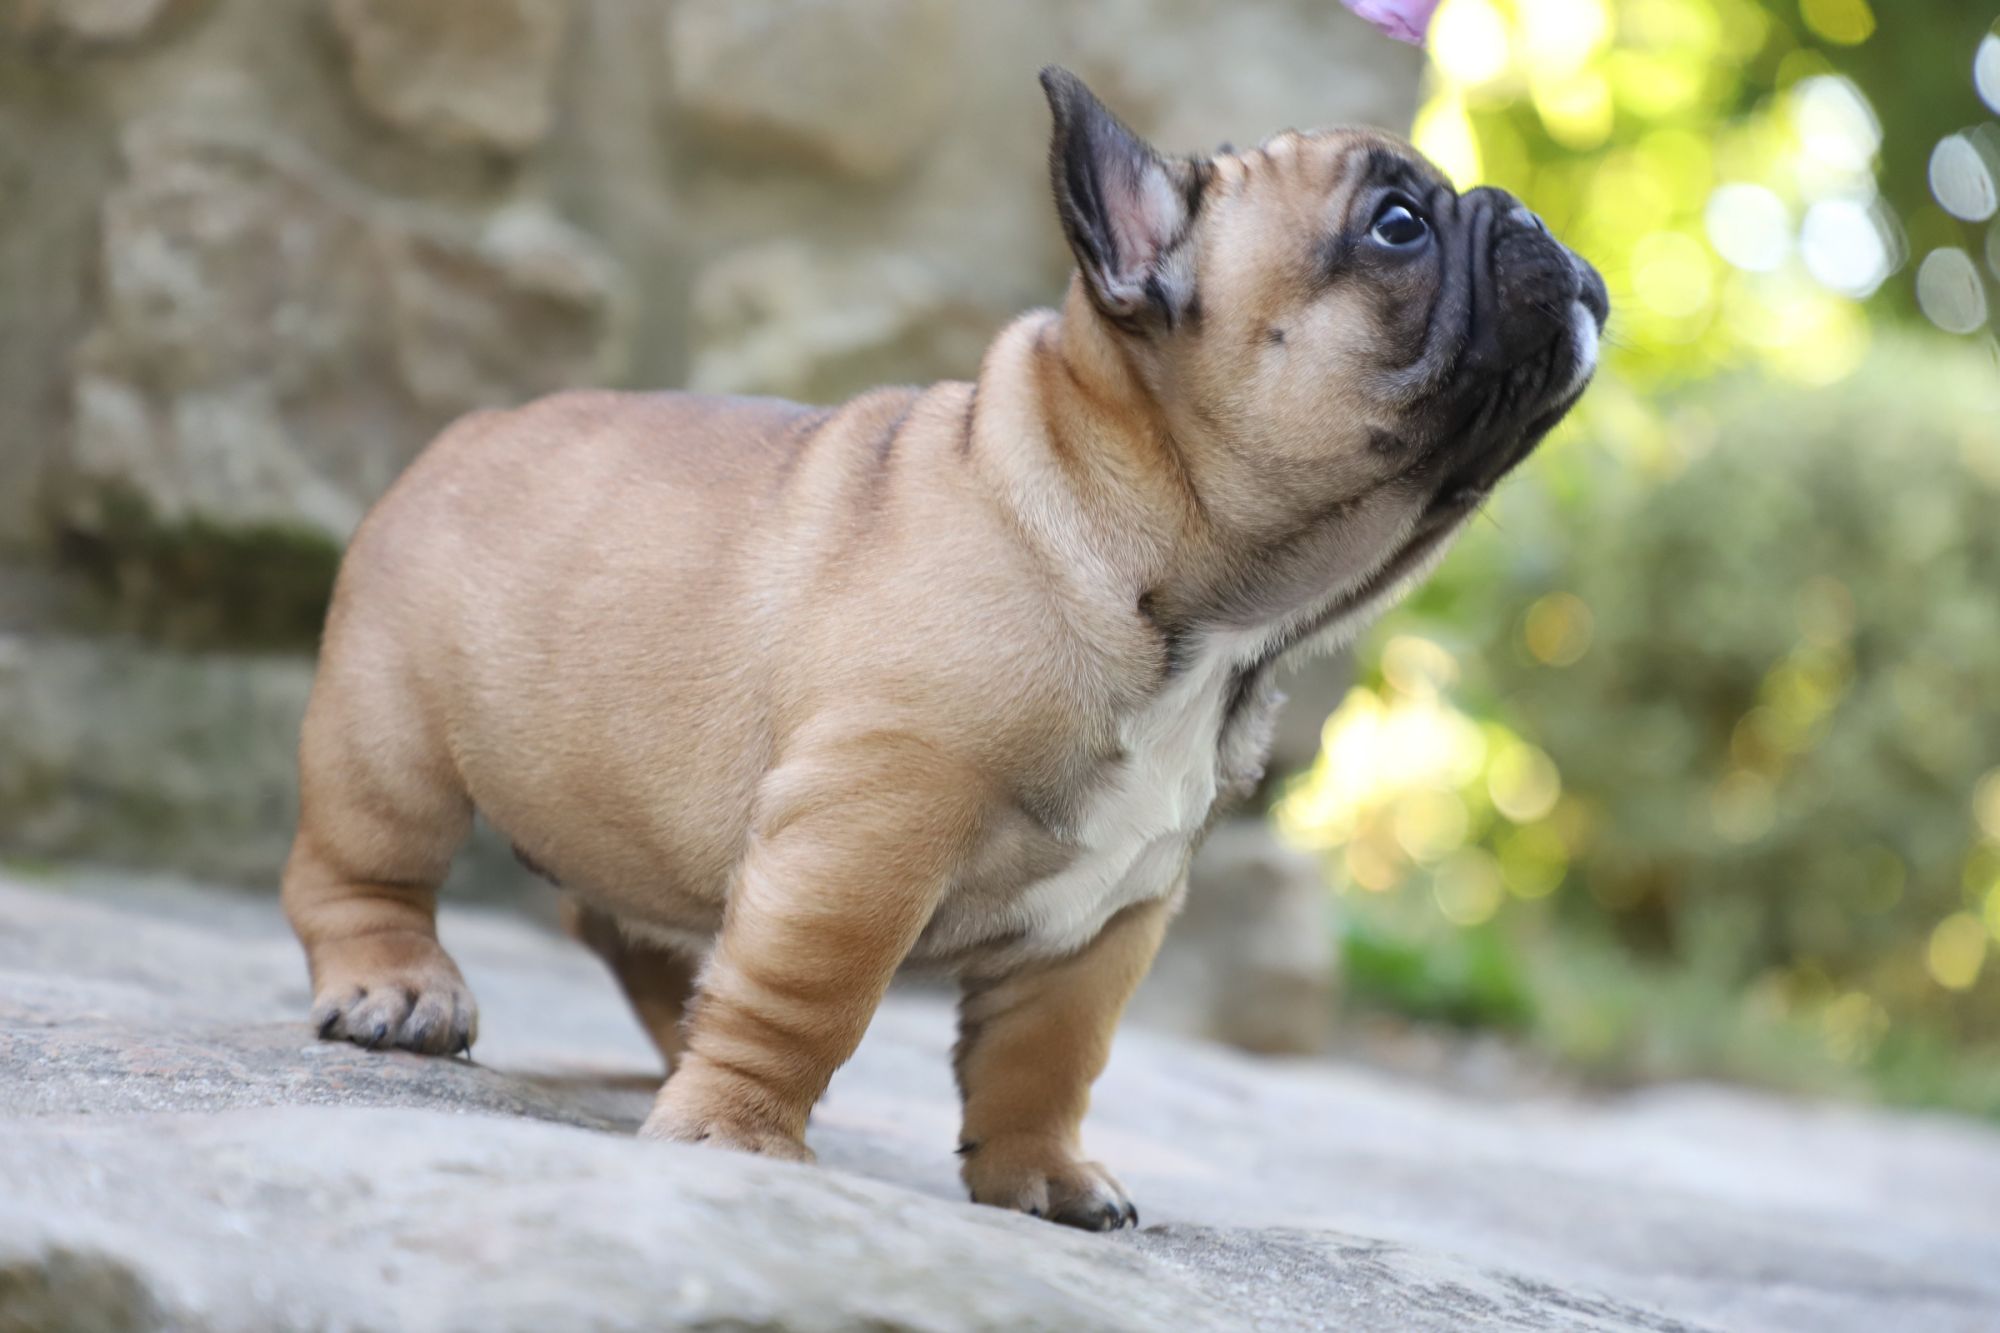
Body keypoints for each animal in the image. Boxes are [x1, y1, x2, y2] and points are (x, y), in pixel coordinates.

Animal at [282, 67, 1607, 1231]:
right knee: (363, 871)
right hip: (389, 737)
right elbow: (808, 994)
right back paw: (402, 988)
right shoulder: (870, 826)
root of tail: (469, 430)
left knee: (641, 931)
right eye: (1395, 225)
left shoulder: (1106, 915)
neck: (1187, 595)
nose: (1539, 220)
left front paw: (1039, 1177)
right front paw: (738, 1134)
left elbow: (1047, 1057)